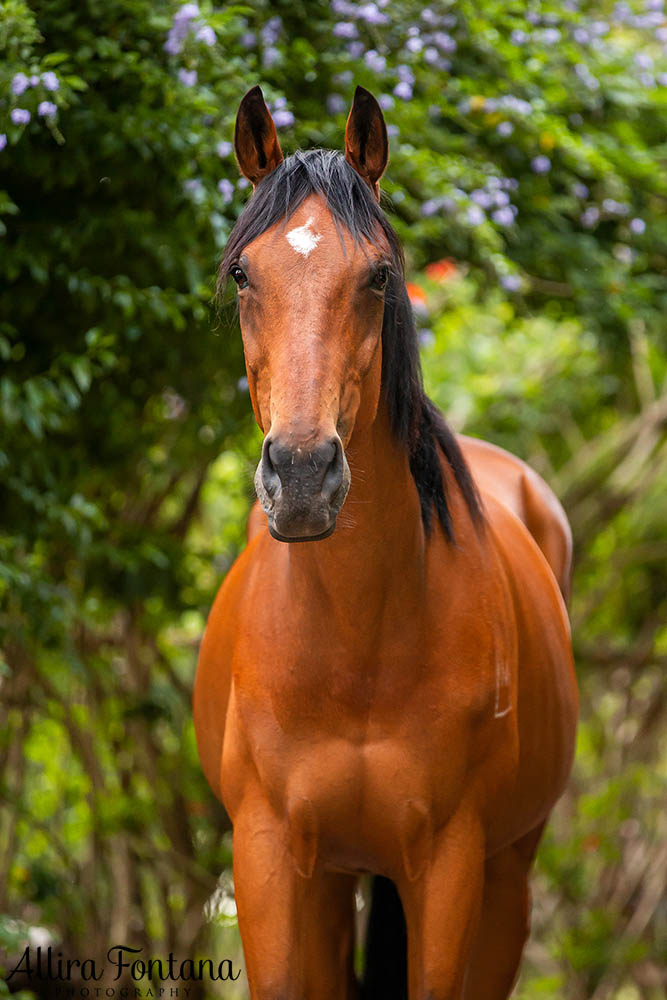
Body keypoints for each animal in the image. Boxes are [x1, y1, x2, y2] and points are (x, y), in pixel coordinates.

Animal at [193, 88, 580, 1000]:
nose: (302, 475)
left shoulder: (449, 867)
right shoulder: (269, 862)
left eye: (377, 275)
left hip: (506, 879)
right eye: (242, 273)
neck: (355, 646)